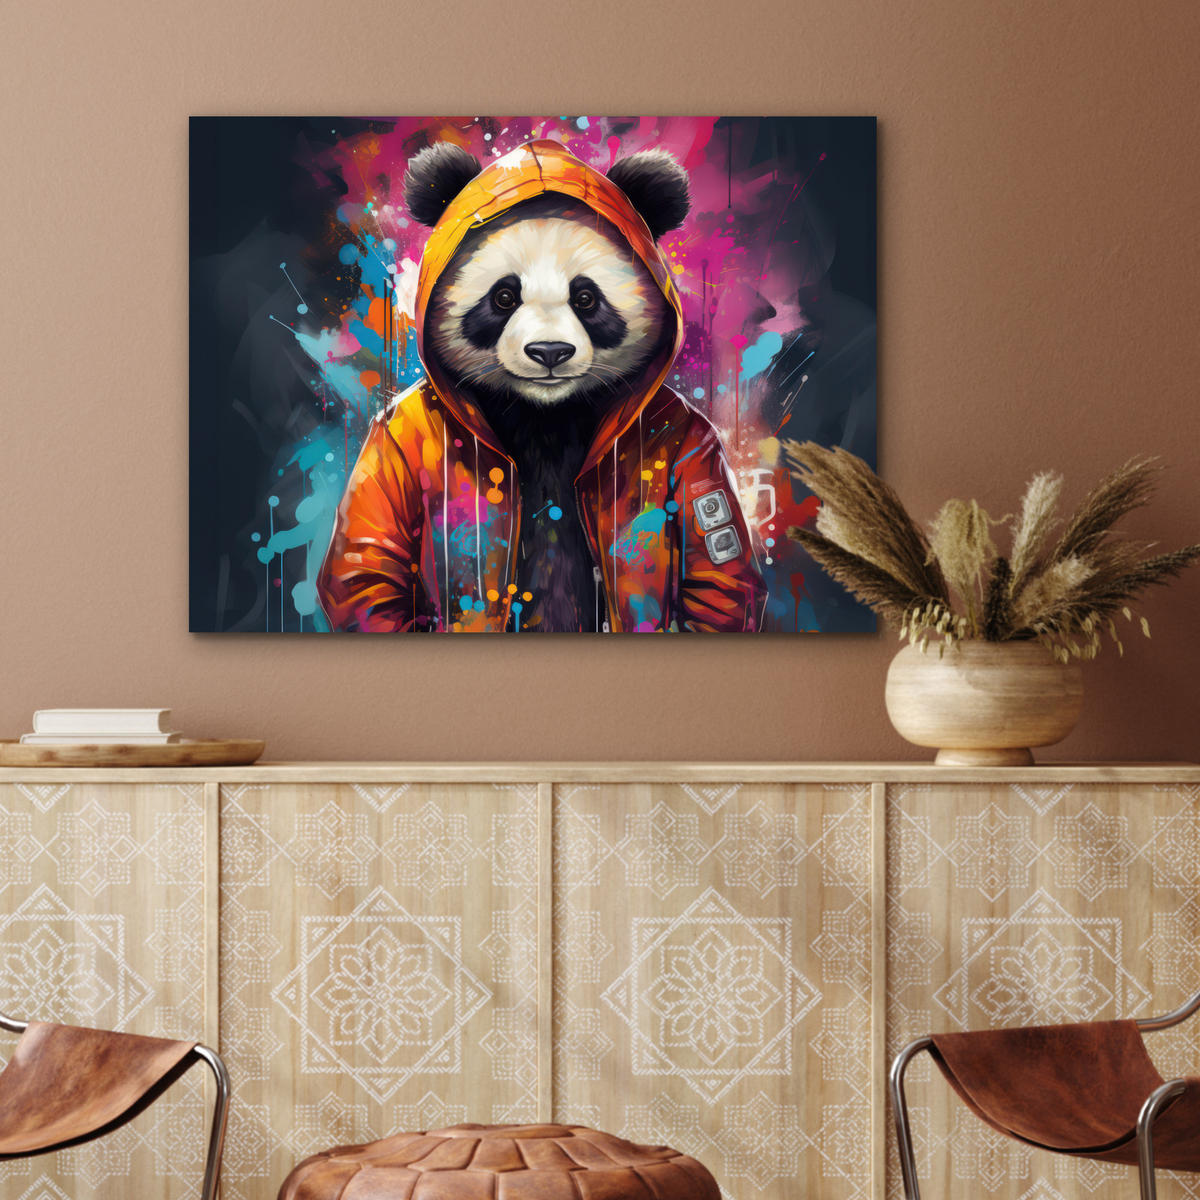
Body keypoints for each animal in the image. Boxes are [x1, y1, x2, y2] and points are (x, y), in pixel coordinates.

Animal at [318, 138, 765, 634]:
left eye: (586, 298)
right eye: (504, 296)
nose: (549, 352)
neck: (545, 412)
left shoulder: (690, 435)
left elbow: (714, 572)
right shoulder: (397, 433)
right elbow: (371, 562)